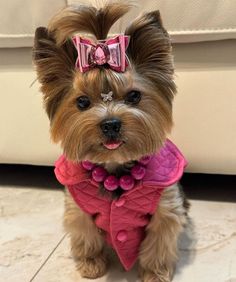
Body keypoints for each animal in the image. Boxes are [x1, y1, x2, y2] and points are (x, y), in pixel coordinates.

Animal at [33, 1, 189, 280]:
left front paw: (154, 273)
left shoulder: (165, 208)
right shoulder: (78, 209)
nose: (111, 124)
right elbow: (85, 234)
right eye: (82, 102)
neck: (114, 166)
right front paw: (91, 264)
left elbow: (158, 242)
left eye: (134, 96)